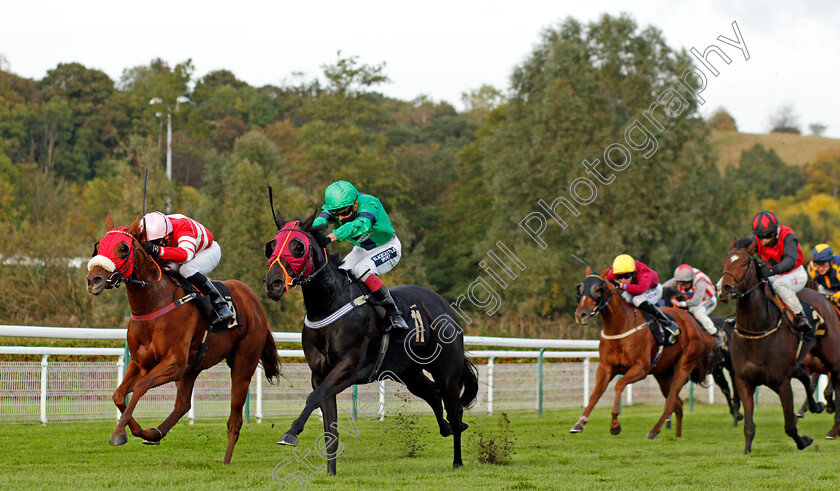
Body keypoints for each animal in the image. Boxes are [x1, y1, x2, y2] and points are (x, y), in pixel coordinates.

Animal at [85, 215, 282, 466]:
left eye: (122, 248)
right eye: (99, 246)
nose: (93, 280)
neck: (154, 302)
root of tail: (255, 301)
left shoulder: (174, 363)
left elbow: (140, 386)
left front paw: (119, 433)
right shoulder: (141, 363)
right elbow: (119, 394)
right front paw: (138, 431)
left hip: (242, 364)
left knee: (234, 420)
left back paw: (226, 461)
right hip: (193, 366)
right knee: (183, 403)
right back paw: (156, 432)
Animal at [262, 211, 476, 476]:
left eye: (298, 247)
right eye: (271, 245)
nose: (273, 283)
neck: (329, 304)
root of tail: (443, 304)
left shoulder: (349, 368)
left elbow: (314, 398)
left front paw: (290, 434)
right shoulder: (320, 373)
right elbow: (329, 427)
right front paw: (330, 473)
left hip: (447, 370)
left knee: (454, 409)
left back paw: (457, 459)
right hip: (409, 373)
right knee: (433, 394)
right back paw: (444, 429)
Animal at [568, 268, 712, 440]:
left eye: (598, 289)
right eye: (580, 288)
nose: (580, 315)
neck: (621, 325)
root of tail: (694, 322)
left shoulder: (641, 368)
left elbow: (619, 384)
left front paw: (615, 425)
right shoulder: (605, 367)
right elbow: (595, 393)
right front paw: (579, 422)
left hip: (683, 365)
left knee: (671, 401)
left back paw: (653, 431)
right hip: (662, 373)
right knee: (677, 403)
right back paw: (676, 435)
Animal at [716, 238, 840, 454]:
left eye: (743, 263)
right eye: (724, 262)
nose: (724, 288)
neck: (757, 330)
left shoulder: (782, 382)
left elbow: (789, 425)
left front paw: (804, 441)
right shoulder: (743, 381)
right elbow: (749, 426)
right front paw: (747, 451)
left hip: (832, 358)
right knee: (805, 376)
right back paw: (817, 407)